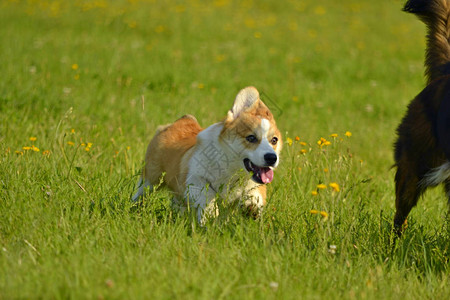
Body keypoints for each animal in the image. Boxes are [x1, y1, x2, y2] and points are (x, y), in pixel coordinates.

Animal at [132, 86, 284, 223]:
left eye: (274, 140)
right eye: (251, 138)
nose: (272, 158)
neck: (231, 168)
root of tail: (182, 120)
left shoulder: (256, 185)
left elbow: (255, 194)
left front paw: (251, 208)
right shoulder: (194, 178)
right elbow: (207, 193)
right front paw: (210, 216)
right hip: (150, 179)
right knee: (141, 193)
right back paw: (133, 209)